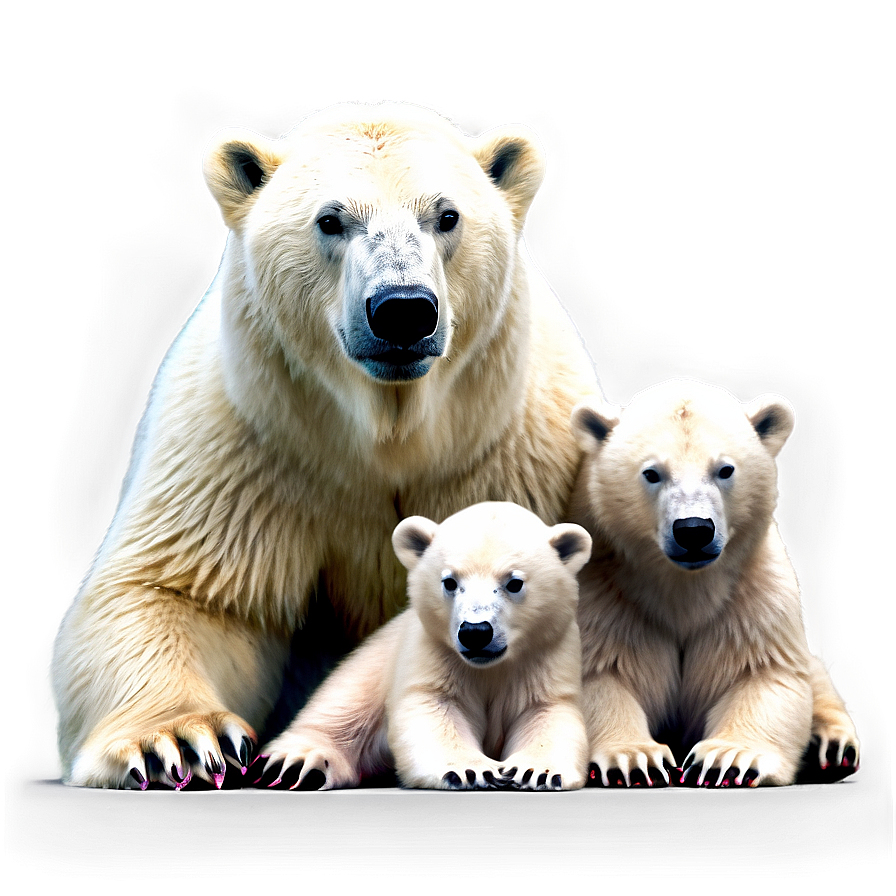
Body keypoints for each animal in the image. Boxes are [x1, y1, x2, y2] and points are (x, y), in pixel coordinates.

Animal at [254, 501, 592, 790]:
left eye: (514, 582)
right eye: (450, 582)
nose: (475, 632)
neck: (490, 667)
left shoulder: (546, 654)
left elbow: (545, 712)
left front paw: (537, 772)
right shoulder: (431, 650)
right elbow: (434, 706)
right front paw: (471, 771)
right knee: (347, 698)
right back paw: (297, 763)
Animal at [569, 379, 861, 787]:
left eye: (725, 469)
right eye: (652, 473)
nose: (693, 530)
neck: (684, 589)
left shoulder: (753, 591)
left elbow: (765, 672)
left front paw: (729, 760)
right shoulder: (605, 588)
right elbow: (598, 671)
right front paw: (636, 760)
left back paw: (832, 746)